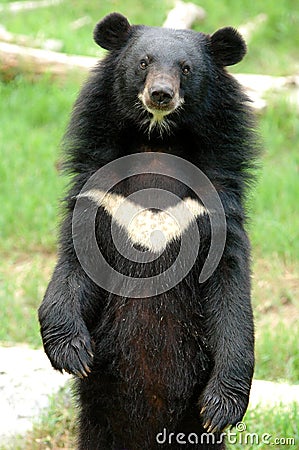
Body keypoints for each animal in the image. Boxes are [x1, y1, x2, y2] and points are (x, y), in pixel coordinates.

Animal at [38, 13, 258, 450]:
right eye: (143, 62)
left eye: (186, 69)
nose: (160, 95)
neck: (158, 143)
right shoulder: (101, 194)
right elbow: (73, 269)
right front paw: (74, 353)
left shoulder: (216, 207)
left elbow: (231, 292)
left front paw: (221, 407)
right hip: (97, 421)